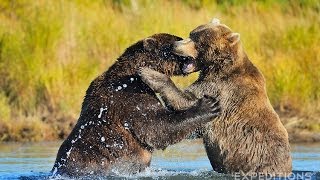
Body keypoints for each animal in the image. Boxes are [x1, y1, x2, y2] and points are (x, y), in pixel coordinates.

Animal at [51, 33, 221, 176]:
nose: (192, 56)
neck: (132, 75)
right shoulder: (130, 98)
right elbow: (158, 128)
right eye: (178, 41)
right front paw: (208, 106)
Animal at [140, 20, 292, 176]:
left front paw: (150, 74)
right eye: (191, 33)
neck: (219, 67)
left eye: (197, 40)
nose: (174, 45)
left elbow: (187, 102)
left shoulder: (221, 89)